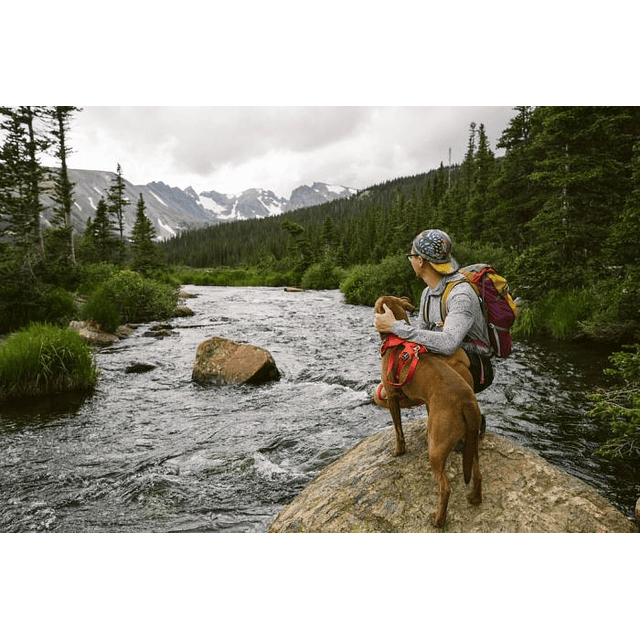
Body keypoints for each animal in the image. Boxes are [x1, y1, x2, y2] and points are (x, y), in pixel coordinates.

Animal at [372, 298, 482, 528]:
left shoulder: (392, 395)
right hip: (472, 443)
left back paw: (438, 520)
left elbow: (398, 430)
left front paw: (398, 451)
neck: (397, 341)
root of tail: (466, 401)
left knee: (445, 487)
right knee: (477, 474)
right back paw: (475, 499)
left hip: (437, 448)